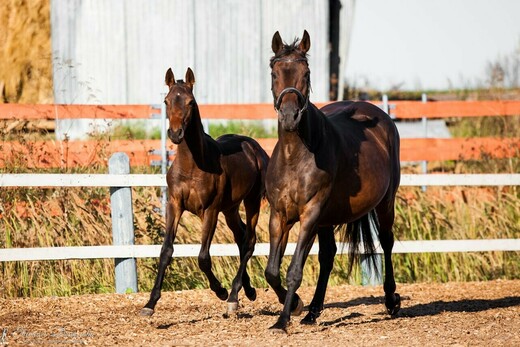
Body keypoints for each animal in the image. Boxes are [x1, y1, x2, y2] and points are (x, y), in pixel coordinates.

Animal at [139, 68, 268, 318]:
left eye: (191, 102)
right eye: (166, 100)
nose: (176, 134)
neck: (192, 165)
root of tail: (255, 147)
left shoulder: (210, 211)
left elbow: (203, 258)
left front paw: (220, 291)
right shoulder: (174, 205)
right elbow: (166, 251)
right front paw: (150, 304)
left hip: (251, 200)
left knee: (249, 240)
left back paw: (233, 296)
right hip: (230, 209)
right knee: (241, 238)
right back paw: (248, 290)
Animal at [264, 31, 402, 334]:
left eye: (306, 73)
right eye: (274, 72)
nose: (289, 116)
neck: (296, 155)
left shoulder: (310, 214)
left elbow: (293, 271)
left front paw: (282, 320)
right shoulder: (279, 215)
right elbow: (271, 271)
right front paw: (295, 306)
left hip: (385, 203)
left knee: (387, 242)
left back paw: (391, 301)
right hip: (327, 220)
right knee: (328, 255)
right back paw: (313, 311)